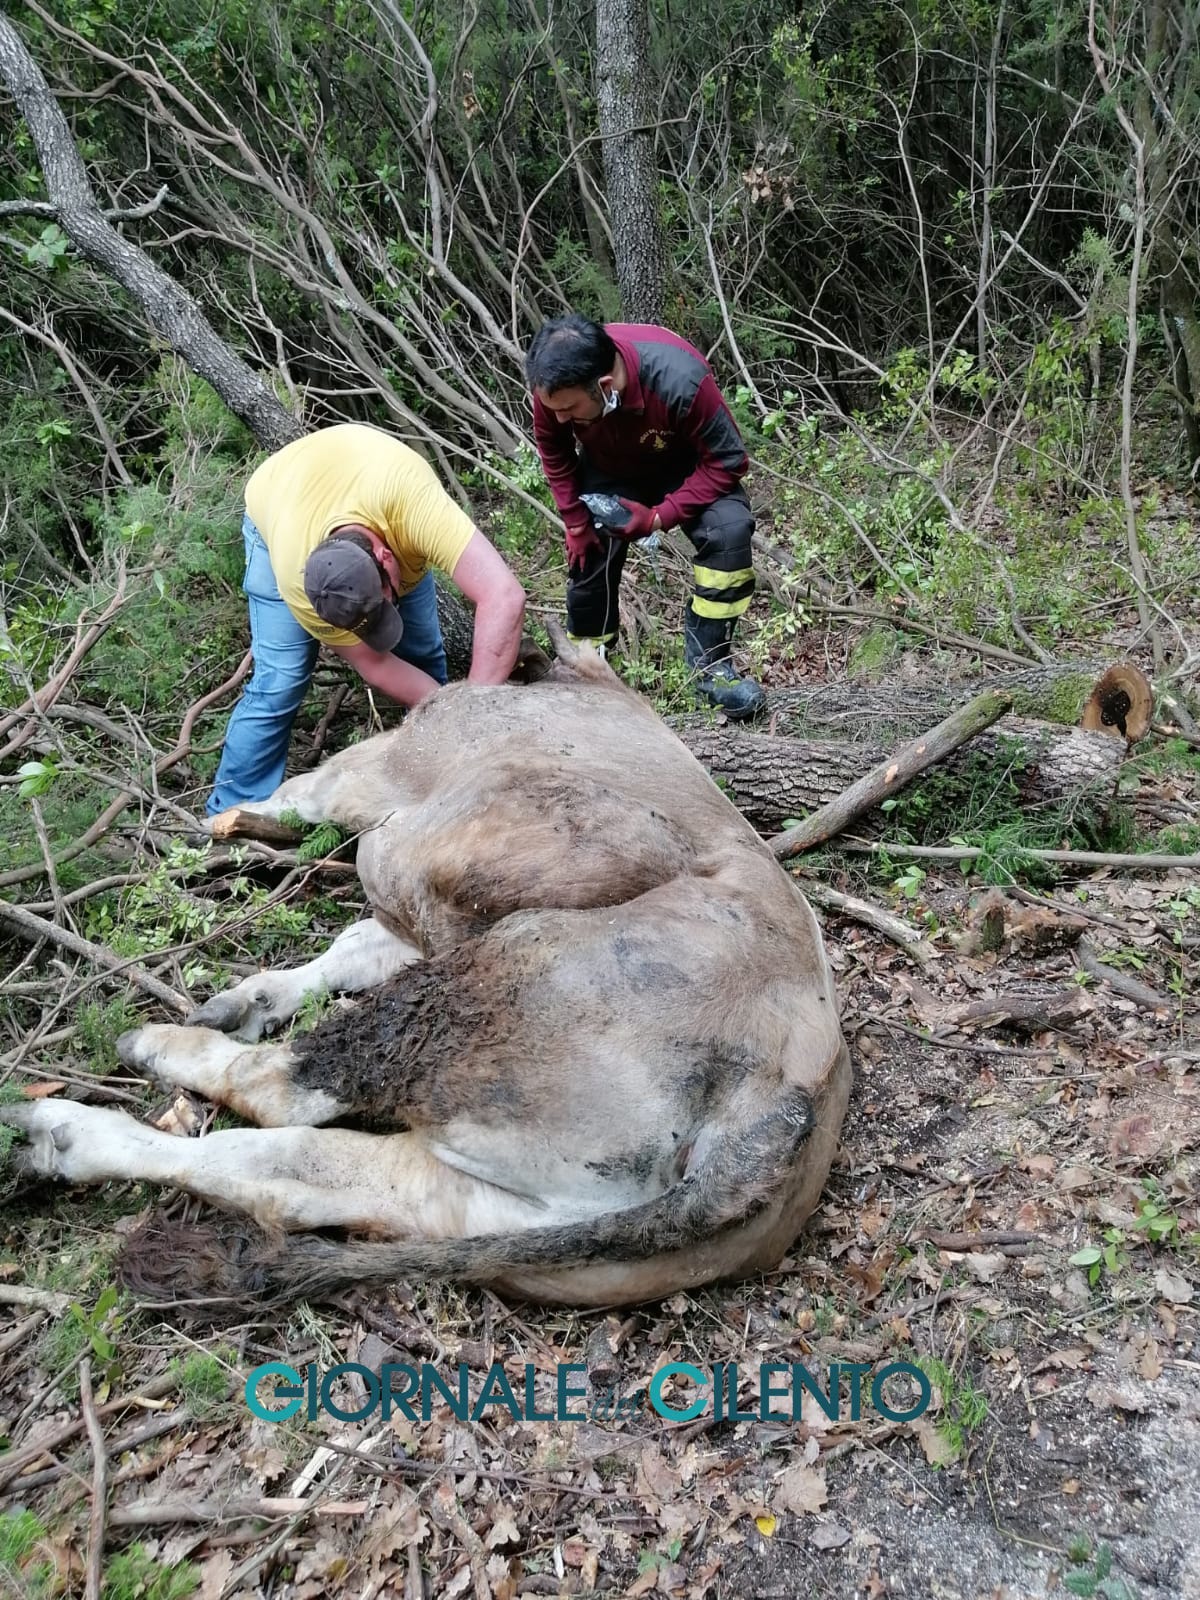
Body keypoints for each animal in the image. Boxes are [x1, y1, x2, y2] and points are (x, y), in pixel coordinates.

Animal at [7, 630, 857, 1305]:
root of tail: (780, 1102)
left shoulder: (373, 785)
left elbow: (307, 806)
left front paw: (229, 827)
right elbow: (358, 942)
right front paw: (254, 995)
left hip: (474, 1004)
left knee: (284, 1096)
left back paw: (110, 1083)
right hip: (502, 1202)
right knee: (306, 1170)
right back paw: (79, 1130)